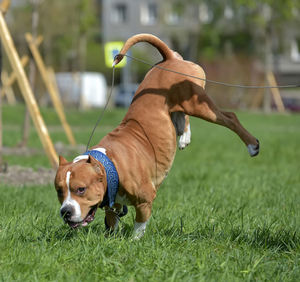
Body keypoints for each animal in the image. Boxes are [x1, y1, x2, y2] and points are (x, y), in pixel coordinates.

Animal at [54, 33, 258, 240]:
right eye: (59, 191)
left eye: (81, 189)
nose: (65, 211)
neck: (111, 165)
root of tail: (170, 58)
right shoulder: (113, 205)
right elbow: (112, 221)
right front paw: (111, 238)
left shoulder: (145, 199)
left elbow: (139, 224)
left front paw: (134, 241)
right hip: (178, 105)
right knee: (182, 116)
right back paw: (184, 136)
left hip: (197, 103)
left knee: (229, 117)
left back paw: (252, 145)